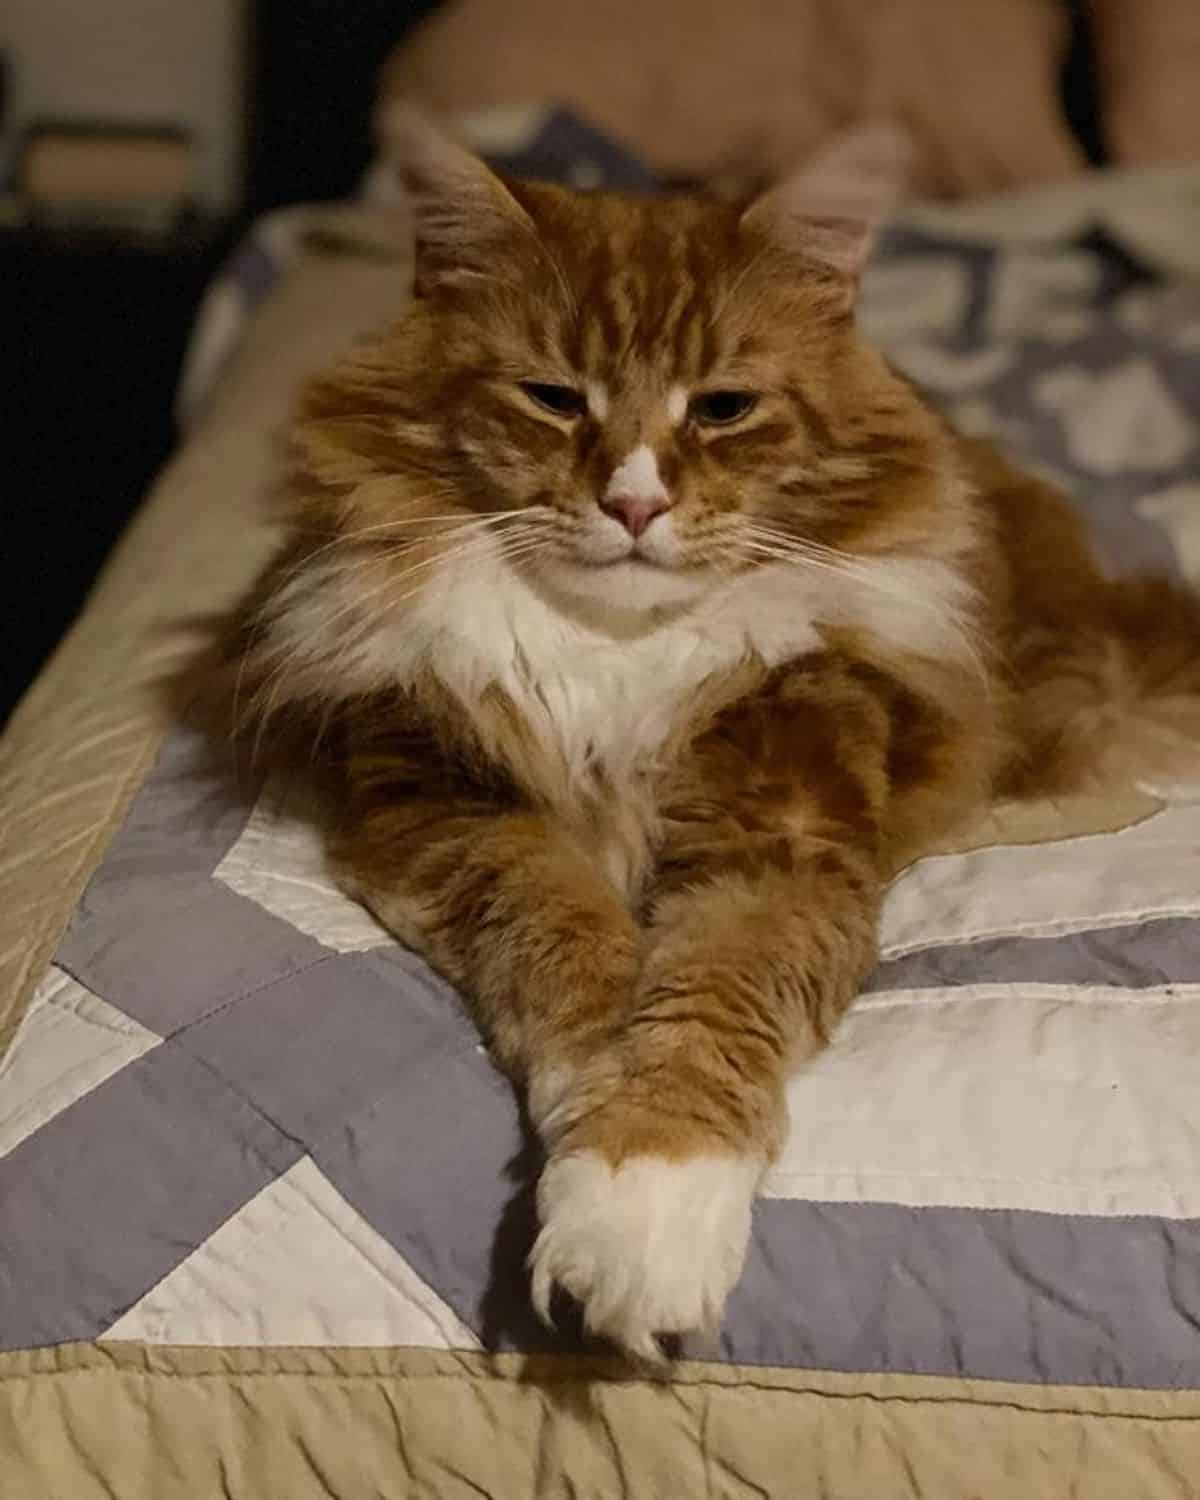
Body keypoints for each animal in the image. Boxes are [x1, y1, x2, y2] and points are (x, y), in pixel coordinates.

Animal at [207, 120, 1200, 1362]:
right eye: (553, 398)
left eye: (721, 408)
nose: (634, 506)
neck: (618, 653)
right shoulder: (451, 810)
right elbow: (575, 962)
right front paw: (593, 1131)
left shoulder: (784, 824)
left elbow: (707, 1012)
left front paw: (641, 1217)